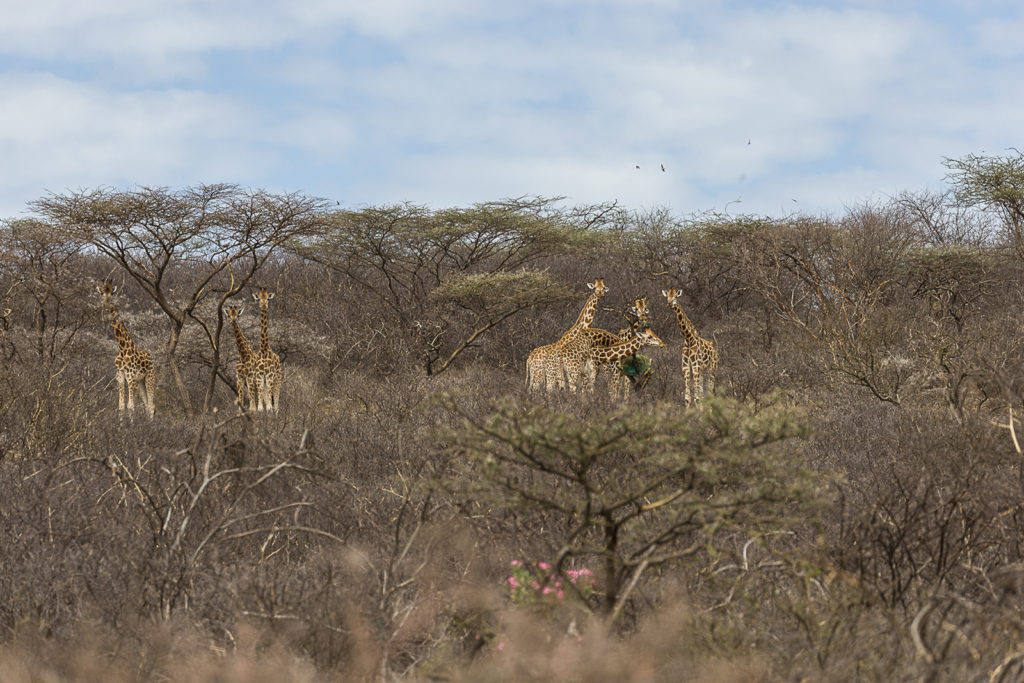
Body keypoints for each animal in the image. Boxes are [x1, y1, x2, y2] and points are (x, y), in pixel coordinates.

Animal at [97, 282, 155, 419]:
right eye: (102, 294)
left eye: (112, 293)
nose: (106, 305)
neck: (122, 347)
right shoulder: (120, 377)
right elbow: (122, 407)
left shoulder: (131, 377)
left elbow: (131, 406)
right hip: (140, 382)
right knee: (146, 405)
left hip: (150, 377)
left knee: (152, 405)